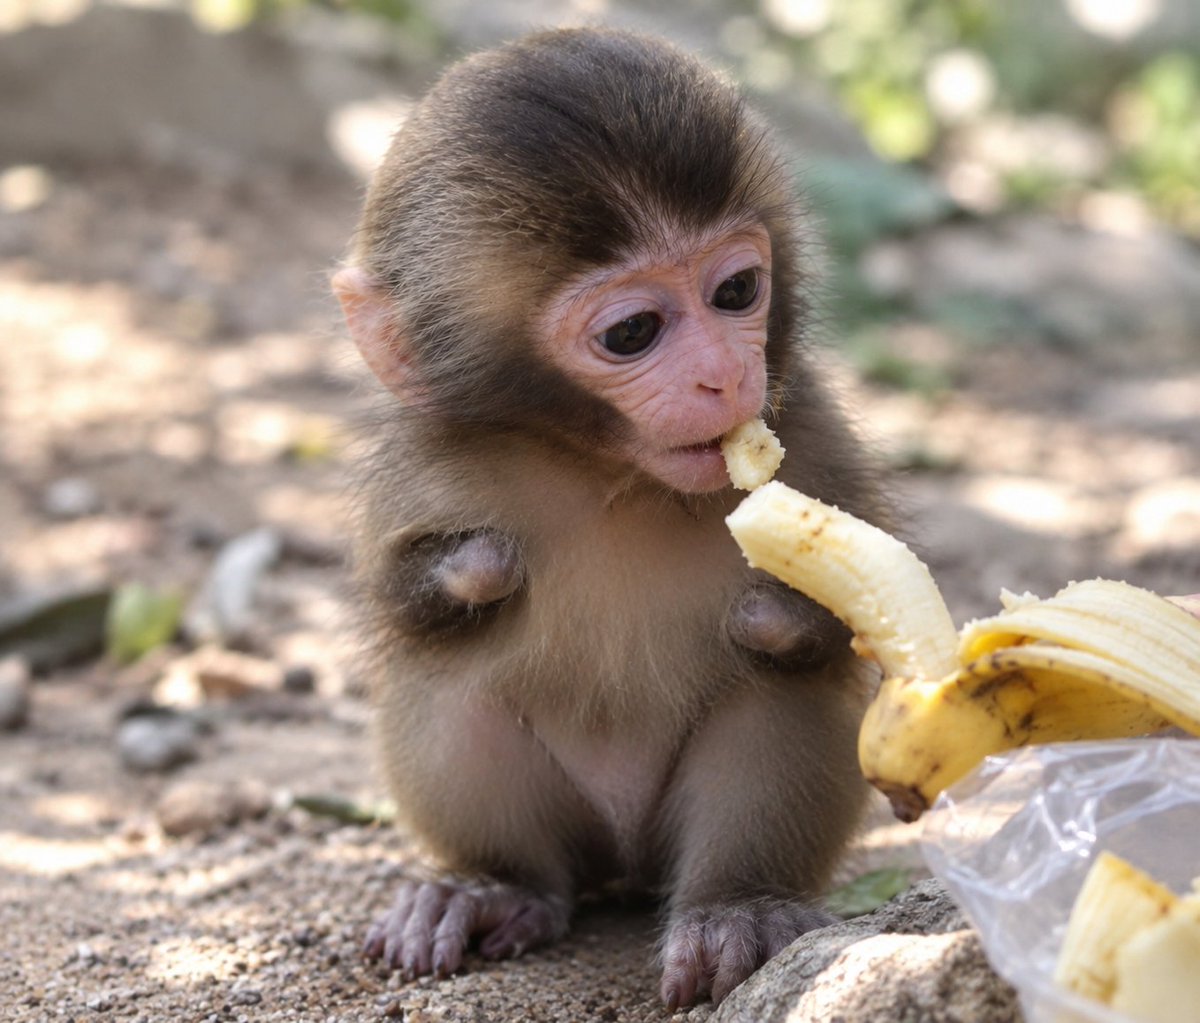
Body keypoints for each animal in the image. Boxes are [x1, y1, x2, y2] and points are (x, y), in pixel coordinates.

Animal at [333, 27, 885, 1009]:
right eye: (632, 333)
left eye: (736, 291)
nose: (725, 375)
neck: (609, 472)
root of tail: (625, 863)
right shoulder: (421, 464)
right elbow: (403, 611)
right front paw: (474, 569)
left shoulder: (811, 427)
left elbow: (834, 629)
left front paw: (777, 611)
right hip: (569, 836)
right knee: (453, 685)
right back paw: (493, 888)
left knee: (773, 696)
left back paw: (738, 907)